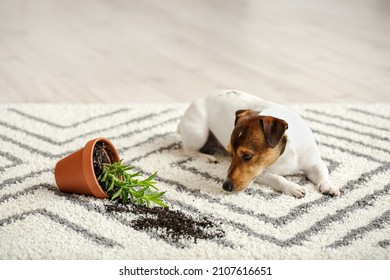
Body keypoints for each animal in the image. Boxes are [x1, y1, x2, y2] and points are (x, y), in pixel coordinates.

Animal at [178, 89, 340, 197]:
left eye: (247, 156)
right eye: (230, 153)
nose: (225, 186)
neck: (284, 153)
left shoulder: (314, 164)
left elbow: (322, 173)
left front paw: (328, 186)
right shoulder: (261, 173)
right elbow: (277, 178)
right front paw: (293, 187)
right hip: (199, 133)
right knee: (188, 150)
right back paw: (207, 157)